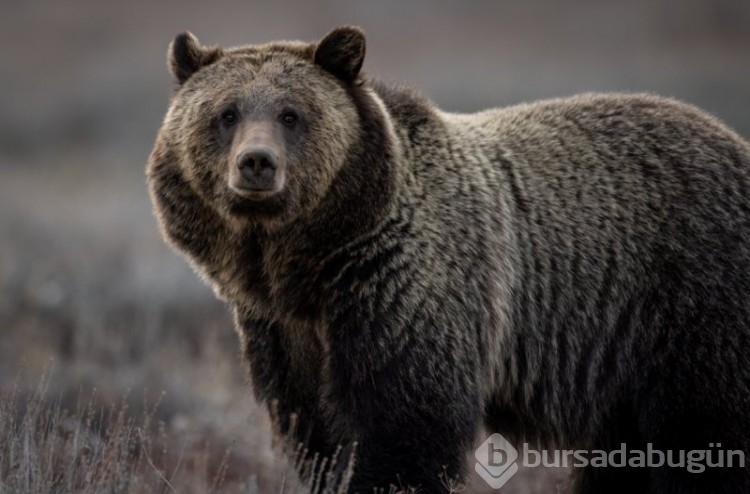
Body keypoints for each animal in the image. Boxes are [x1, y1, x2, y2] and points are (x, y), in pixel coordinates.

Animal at [148, 27, 750, 494]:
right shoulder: (283, 328)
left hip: (685, 305)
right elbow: (314, 431)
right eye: (226, 113)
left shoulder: (404, 290)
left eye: (292, 114)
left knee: (701, 434)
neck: (310, 262)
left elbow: (404, 426)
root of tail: (733, 142)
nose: (256, 163)